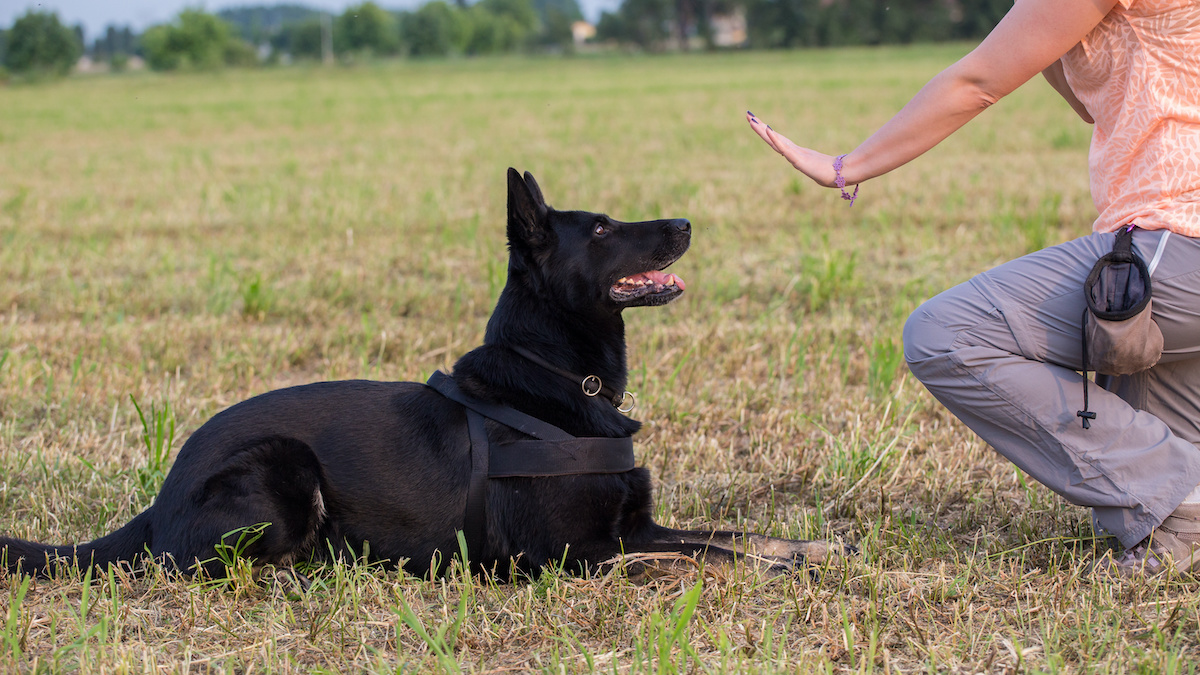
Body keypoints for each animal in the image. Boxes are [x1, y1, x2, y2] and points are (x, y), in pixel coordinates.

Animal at [0, 166, 840, 578]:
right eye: (602, 229)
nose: (687, 222)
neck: (559, 380)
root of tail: (162, 494)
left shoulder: (637, 525)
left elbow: (729, 533)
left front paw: (811, 551)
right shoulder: (576, 554)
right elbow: (703, 556)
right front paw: (773, 576)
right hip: (283, 470)